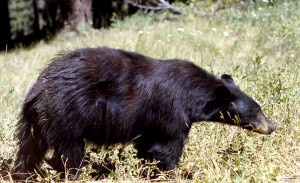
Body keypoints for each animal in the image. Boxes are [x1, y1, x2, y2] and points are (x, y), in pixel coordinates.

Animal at [14, 47, 276, 180]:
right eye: (257, 111)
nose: (272, 126)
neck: (192, 95)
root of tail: (39, 87)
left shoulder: (151, 122)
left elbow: (147, 146)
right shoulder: (170, 109)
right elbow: (167, 148)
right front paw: (173, 174)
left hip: (36, 120)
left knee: (29, 149)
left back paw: (23, 174)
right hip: (68, 114)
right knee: (70, 154)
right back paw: (74, 174)